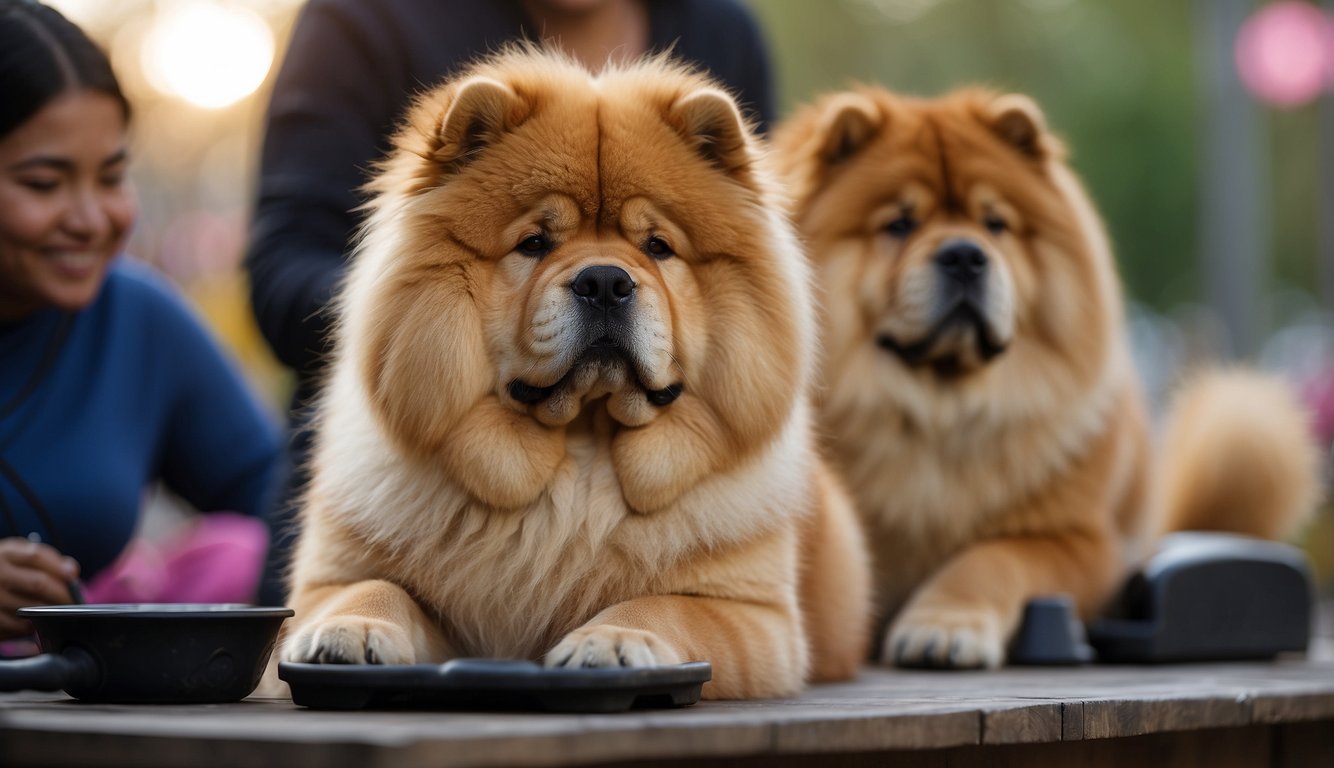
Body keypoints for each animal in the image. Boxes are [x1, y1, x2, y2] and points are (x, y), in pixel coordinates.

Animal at [276, 46, 869, 693]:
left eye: (658, 247)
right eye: (535, 243)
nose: (605, 281)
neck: (580, 452)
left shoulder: (751, 613)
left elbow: (664, 604)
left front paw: (611, 640)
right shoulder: (329, 581)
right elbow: (370, 587)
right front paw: (351, 631)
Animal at [773, 86, 1323, 669]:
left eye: (995, 223)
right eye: (898, 225)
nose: (965, 255)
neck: (938, 414)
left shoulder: (1082, 542)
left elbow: (993, 557)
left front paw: (943, 626)